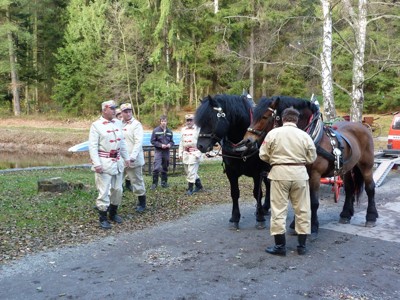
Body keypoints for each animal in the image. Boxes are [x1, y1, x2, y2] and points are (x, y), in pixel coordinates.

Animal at [195, 95, 270, 229]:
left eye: (211, 119)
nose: (200, 146)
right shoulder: (231, 172)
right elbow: (234, 193)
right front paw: (235, 218)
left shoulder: (257, 172)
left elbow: (257, 193)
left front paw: (260, 218)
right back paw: (266, 207)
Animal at [241, 95, 378, 238]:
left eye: (264, 117)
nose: (247, 141)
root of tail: (362, 126)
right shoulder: (301, 175)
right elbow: (301, 201)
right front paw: (295, 225)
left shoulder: (315, 175)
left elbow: (314, 202)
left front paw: (313, 227)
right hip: (346, 168)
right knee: (350, 188)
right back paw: (345, 214)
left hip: (366, 166)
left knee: (370, 188)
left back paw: (371, 217)